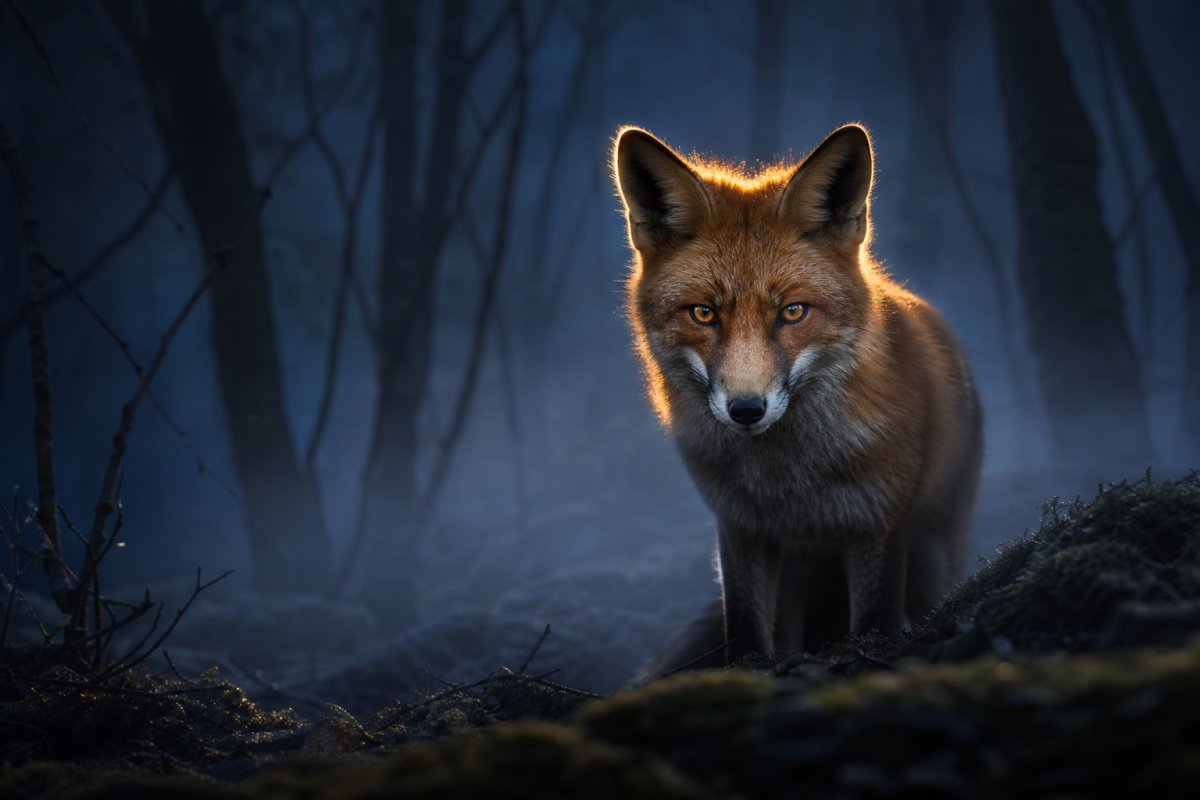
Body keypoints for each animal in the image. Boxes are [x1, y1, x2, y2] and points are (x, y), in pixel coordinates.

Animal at [613, 124, 983, 672]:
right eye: (703, 313)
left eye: (792, 312)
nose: (747, 409)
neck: (791, 483)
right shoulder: (739, 528)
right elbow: (745, 633)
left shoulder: (878, 525)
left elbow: (874, 626)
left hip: (935, 554)